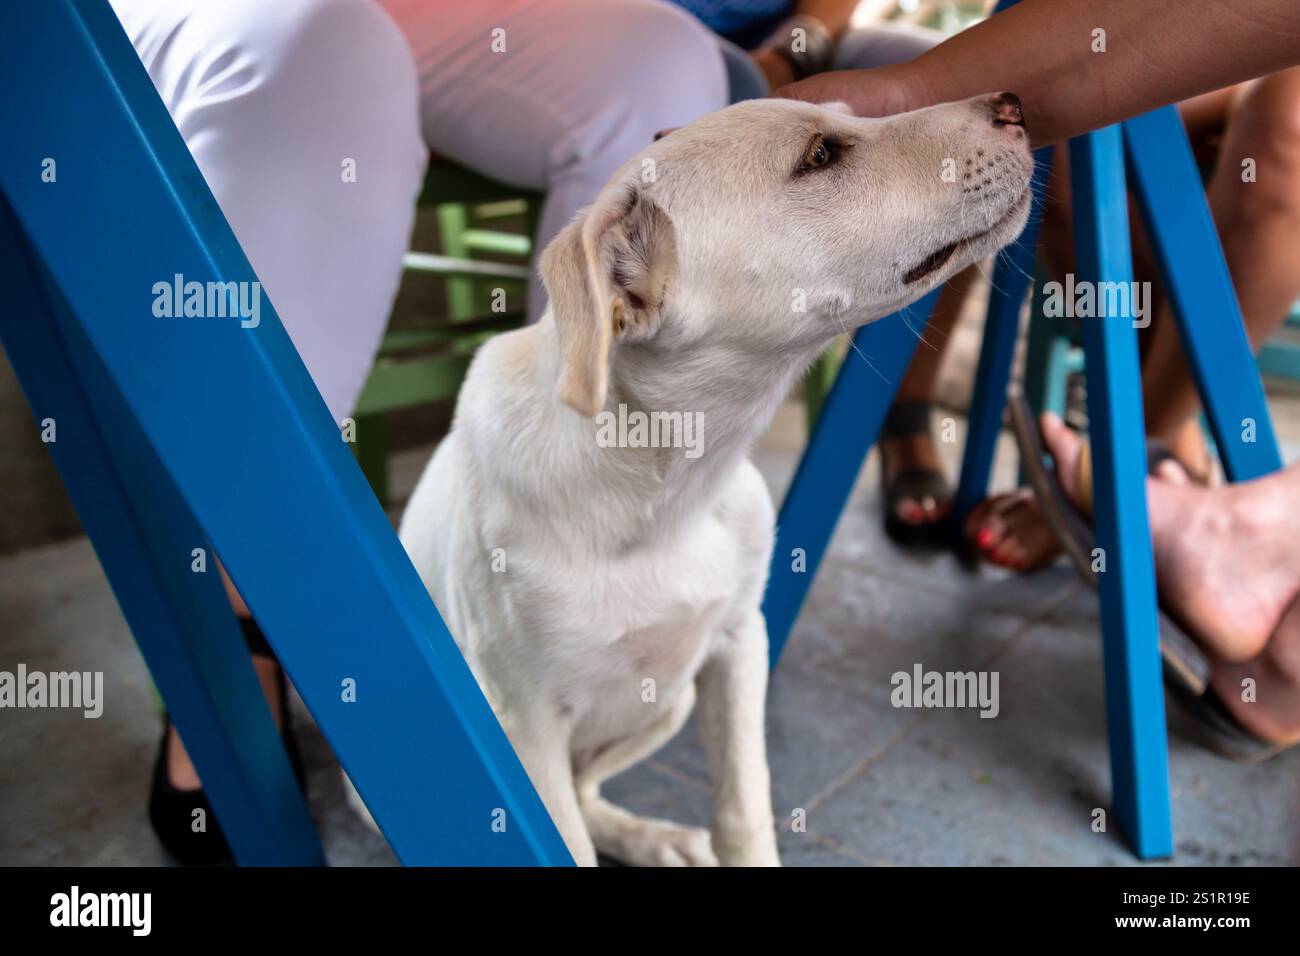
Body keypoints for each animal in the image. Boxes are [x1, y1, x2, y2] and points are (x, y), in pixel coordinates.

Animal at [353, 93, 1024, 863]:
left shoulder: (737, 645)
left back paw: (657, 840)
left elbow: (743, 808)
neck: (664, 489)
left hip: (668, 702)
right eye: (820, 156)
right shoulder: (526, 724)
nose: (1013, 104)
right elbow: (564, 844)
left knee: (591, 791)